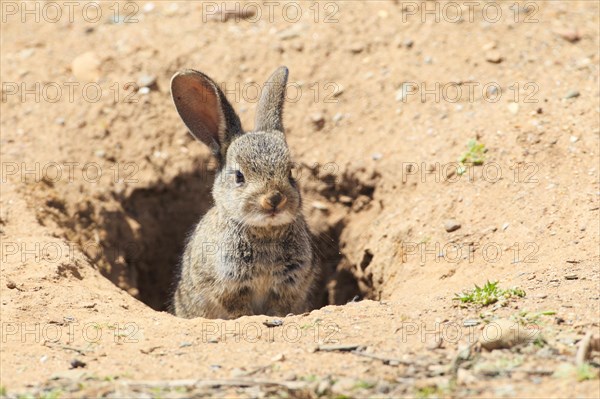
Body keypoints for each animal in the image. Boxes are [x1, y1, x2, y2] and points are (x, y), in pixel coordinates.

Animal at [170, 67, 314, 320]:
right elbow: (239, 310)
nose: (274, 199)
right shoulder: (228, 286)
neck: (266, 231)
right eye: (239, 176)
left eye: (290, 172)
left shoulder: (290, 284)